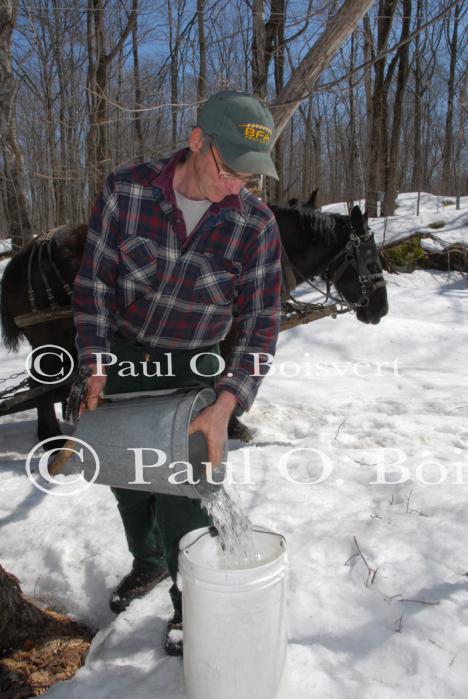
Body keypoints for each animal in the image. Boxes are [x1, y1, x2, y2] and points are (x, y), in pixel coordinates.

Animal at [0, 205, 388, 442]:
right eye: (369, 259)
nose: (381, 309)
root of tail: (26, 253)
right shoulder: (228, 331)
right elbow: (224, 373)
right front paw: (232, 425)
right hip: (52, 340)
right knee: (42, 385)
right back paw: (51, 439)